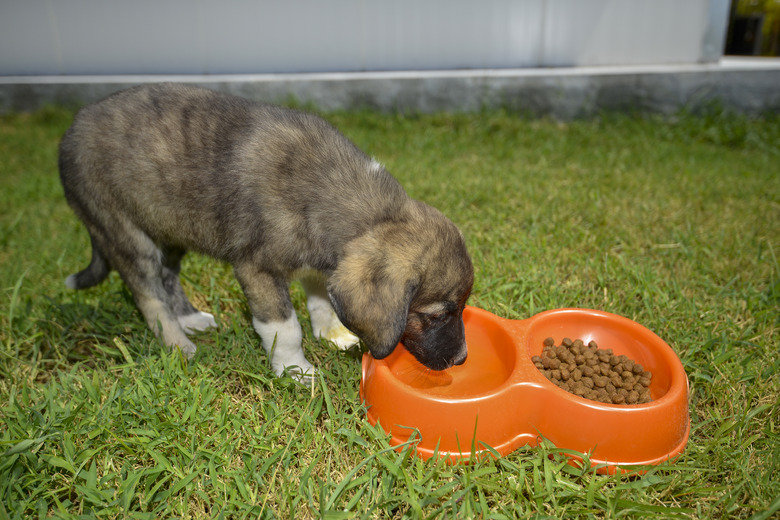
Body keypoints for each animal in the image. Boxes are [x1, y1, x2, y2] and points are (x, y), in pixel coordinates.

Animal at [58, 83, 472, 376]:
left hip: (171, 226)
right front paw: (295, 369)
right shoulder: (256, 269)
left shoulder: (321, 261)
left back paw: (189, 319)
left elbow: (321, 301)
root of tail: (69, 133)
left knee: (168, 275)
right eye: (436, 316)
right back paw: (176, 342)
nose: (462, 360)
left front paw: (332, 333)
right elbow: (284, 327)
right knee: (149, 295)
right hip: (124, 232)